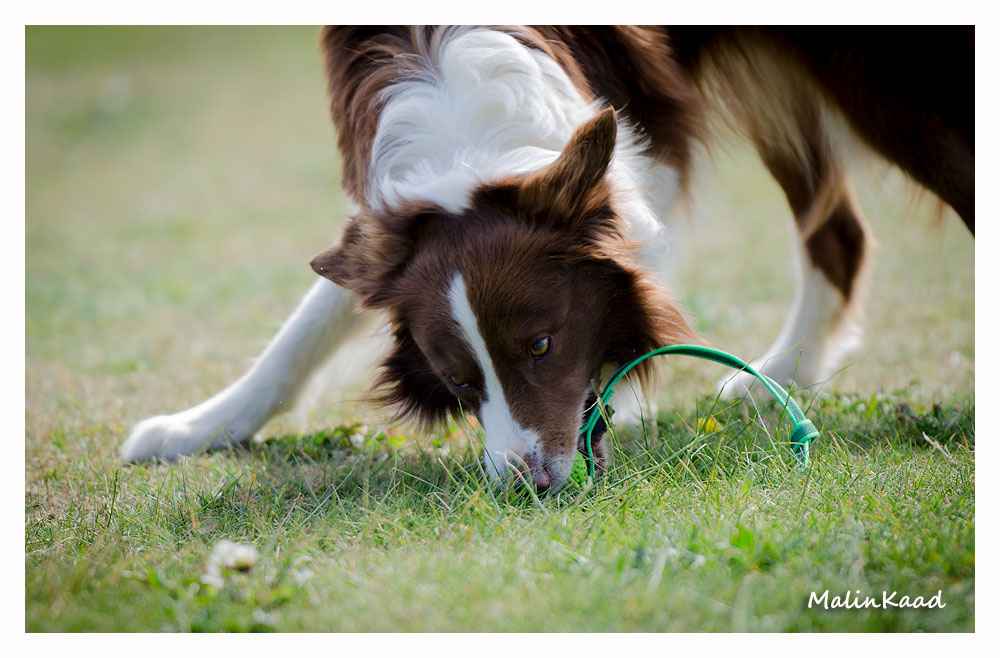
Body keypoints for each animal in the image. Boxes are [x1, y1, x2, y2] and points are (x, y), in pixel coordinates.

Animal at [120, 26, 974, 492]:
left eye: (539, 345)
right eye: (460, 381)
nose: (526, 483)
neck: (467, 137)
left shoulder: (636, 140)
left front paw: (625, 394)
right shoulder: (393, 220)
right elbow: (304, 330)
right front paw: (196, 426)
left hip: (887, 81)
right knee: (840, 233)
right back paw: (787, 371)